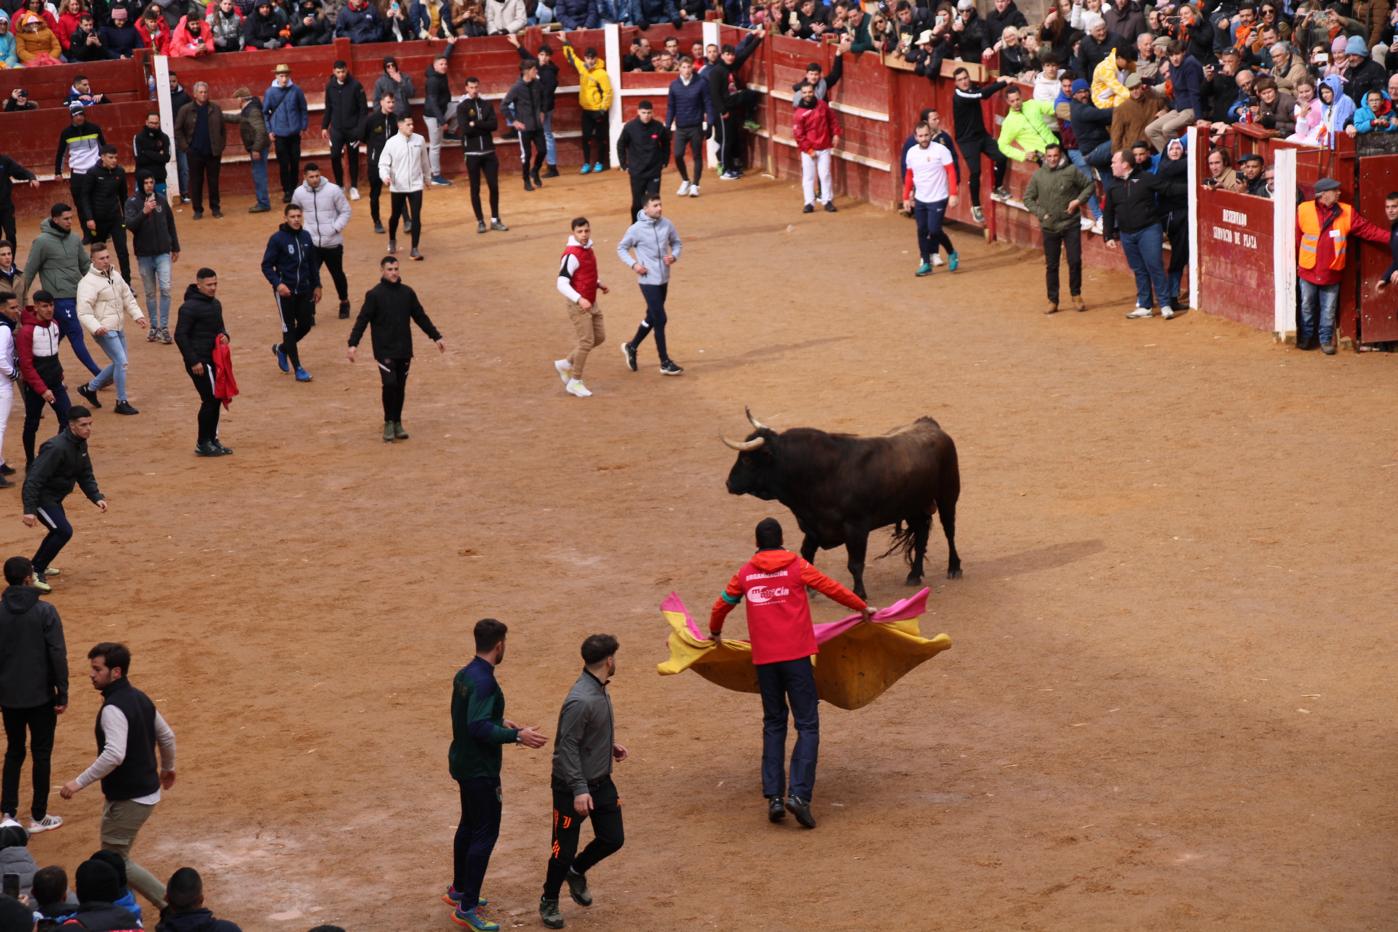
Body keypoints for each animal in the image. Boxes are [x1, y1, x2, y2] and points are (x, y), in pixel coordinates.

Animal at [721, 405, 961, 598]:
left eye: (747, 459)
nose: (729, 483)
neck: (820, 473)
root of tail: (930, 423)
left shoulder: (856, 527)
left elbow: (855, 564)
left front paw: (859, 593)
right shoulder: (813, 526)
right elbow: (807, 555)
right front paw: (810, 590)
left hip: (948, 496)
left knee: (949, 531)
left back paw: (954, 568)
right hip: (913, 507)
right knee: (921, 534)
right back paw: (914, 574)